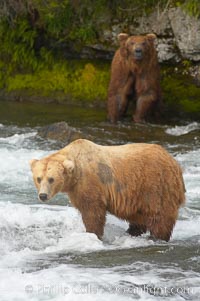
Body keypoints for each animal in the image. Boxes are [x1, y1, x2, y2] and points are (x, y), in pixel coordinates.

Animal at [29, 139, 184, 241]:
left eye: (51, 179)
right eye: (38, 178)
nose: (43, 195)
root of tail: (174, 162)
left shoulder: (90, 183)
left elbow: (92, 212)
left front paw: (93, 233)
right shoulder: (75, 189)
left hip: (156, 185)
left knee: (160, 216)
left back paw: (157, 237)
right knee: (138, 217)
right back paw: (131, 232)